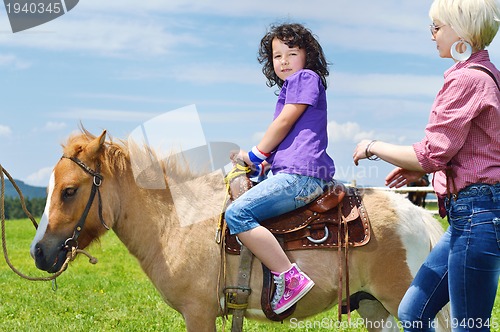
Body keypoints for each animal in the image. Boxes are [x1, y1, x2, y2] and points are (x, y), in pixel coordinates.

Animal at [29, 130, 448, 332]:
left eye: (70, 191)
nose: (38, 252)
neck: (177, 222)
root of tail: (416, 216)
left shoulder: (198, 314)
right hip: (374, 308)